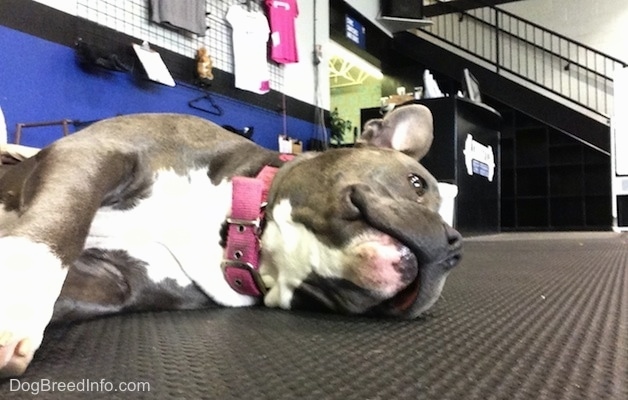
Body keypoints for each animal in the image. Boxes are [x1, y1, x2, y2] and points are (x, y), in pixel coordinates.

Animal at [0, 104, 462, 378]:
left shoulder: (114, 279)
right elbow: (62, 221)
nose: (454, 245)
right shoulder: (98, 151)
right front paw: (16, 306)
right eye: (417, 182)